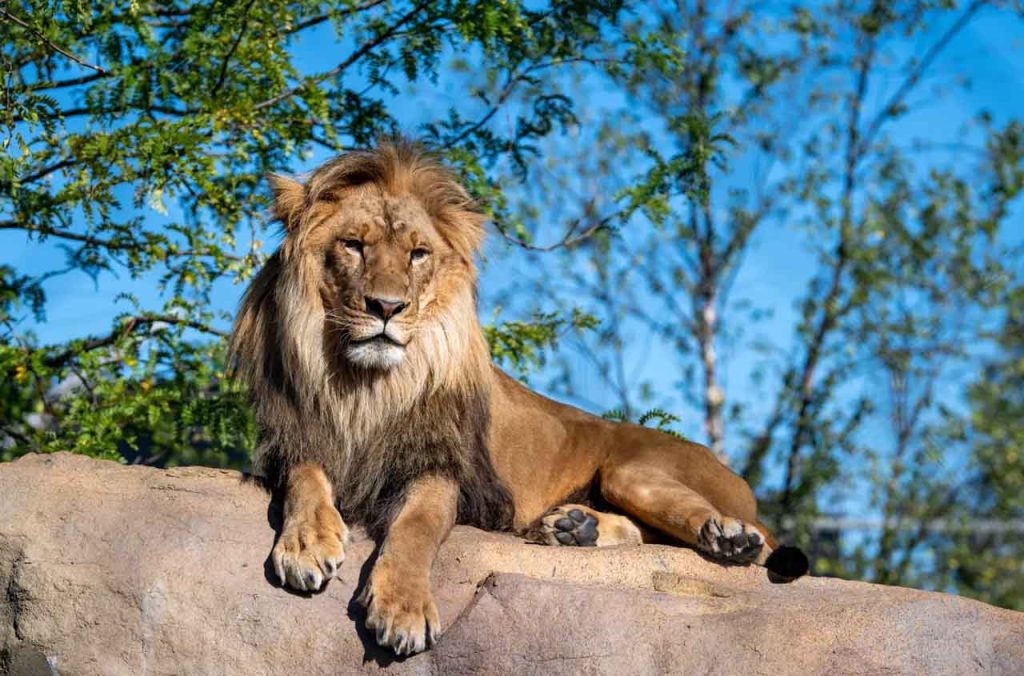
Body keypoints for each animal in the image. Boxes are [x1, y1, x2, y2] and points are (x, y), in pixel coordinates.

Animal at [229, 140, 807, 656]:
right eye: (353, 245)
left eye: (418, 255)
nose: (387, 308)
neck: (367, 385)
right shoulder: (297, 437)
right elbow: (305, 480)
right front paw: (306, 544)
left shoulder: (445, 470)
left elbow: (416, 529)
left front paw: (403, 608)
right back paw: (576, 528)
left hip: (634, 471)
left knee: (753, 543)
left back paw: (728, 536)